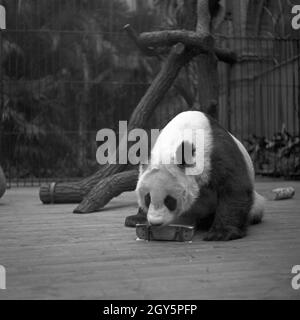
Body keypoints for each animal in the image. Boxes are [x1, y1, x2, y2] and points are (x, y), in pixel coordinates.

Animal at [125, 111, 264, 241]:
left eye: (169, 200)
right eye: (147, 198)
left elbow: (233, 187)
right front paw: (136, 218)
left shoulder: (215, 152)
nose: (156, 222)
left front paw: (221, 233)